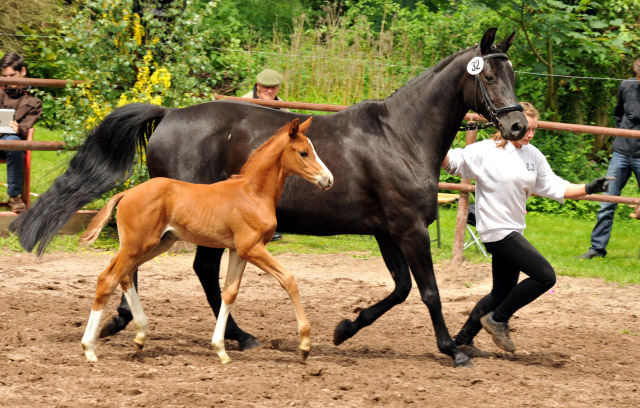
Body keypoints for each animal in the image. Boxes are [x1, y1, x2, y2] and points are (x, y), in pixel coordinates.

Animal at [79, 118, 336, 364]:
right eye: (304, 152)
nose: (329, 179)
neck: (253, 194)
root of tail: (126, 193)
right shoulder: (252, 248)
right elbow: (288, 279)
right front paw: (305, 346)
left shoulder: (238, 251)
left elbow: (230, 292)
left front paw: (221, 349)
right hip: (138, 245)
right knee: (108, 279)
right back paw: (89, 349)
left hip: (157, 244)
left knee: (124, 275)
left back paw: (140, 336)